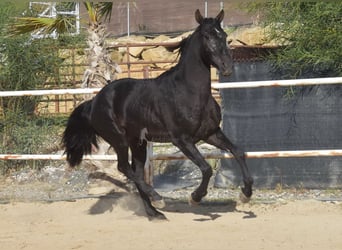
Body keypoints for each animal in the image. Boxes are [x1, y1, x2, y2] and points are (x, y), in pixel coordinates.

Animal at [62, 9, 252, 219]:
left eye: (224, 36)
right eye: (207, 36)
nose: (227, 67)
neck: (189, 92)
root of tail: (94, 101)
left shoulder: (210, 133)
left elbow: (238, 152)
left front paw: (246, 195)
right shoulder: (181, 140)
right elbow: (206, 168)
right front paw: (195, 197)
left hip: (138, 143)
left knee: (136, 171)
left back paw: (154, 212)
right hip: (119, 140)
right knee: (124, 168)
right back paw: (158, 199)